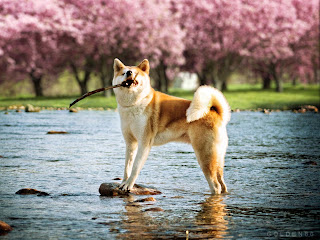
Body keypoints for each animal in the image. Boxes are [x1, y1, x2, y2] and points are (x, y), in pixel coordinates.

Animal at [112, 58, 230, 195]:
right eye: (123, 73)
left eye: (135, 73)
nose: (129, 72)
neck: (134, 104)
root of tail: (214, 111)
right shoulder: (130, 143)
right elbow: (127, 166)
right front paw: (123, 182)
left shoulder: (144, 143)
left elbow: (135, 167)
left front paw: (128, 185)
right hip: (216, 157)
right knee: (222, 184)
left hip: (205, 156)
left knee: (216, 186)